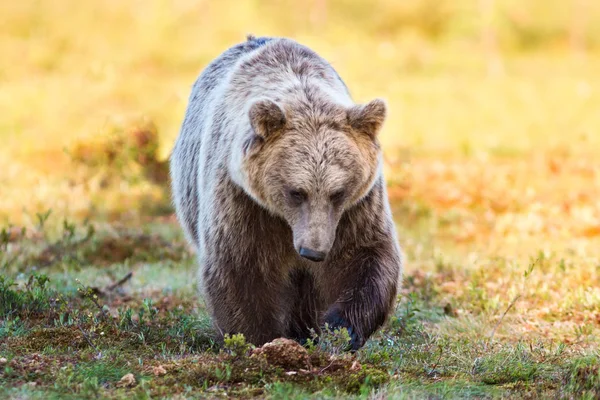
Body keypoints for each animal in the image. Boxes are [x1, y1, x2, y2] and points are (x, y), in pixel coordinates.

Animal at [169, 36, 404, 352]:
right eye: (296, 192)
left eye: (338, 192)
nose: (312, 251)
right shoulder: (243, 202)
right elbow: (239, 269)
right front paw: (261, 340)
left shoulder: (357, 209)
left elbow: (366, 256)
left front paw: (340, 328)